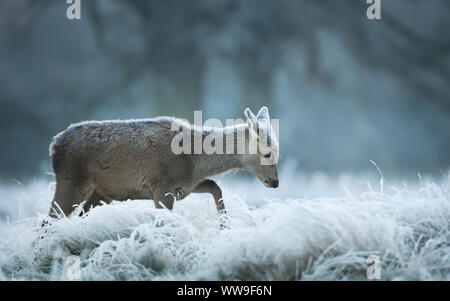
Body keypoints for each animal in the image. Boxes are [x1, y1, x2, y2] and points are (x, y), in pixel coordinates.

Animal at [45, 106, 278, 219]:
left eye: (278, 153)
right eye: (267, 154)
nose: (275, 182)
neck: (194, 161)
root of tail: (54, 145)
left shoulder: (185, 186)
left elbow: (215, 187)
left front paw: (224, 224)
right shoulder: (160, 186)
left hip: (100, 194)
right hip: (71, 182)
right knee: (49, 219)